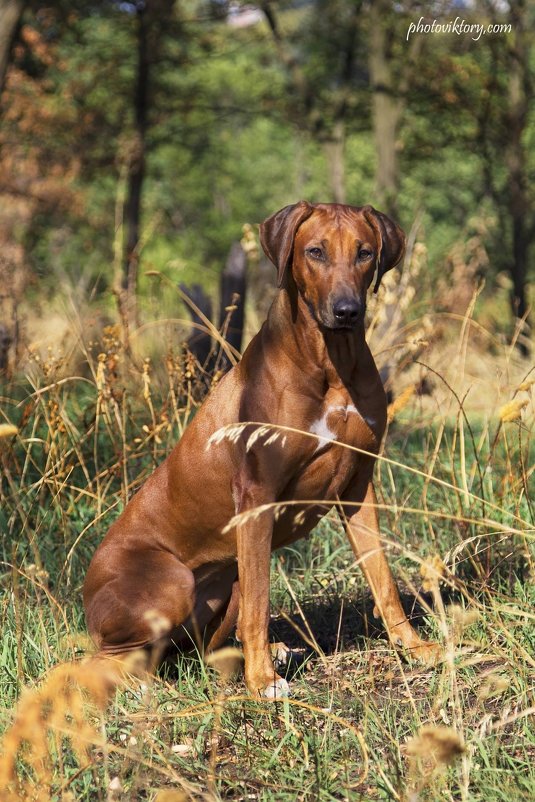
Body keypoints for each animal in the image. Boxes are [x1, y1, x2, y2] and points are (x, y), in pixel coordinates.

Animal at [82, 200, 436, 692]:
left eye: (364, 252)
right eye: (315, 252)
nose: (347, 310)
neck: (330, 362)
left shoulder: (359, 487)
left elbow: (384, 580)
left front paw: (414, 646)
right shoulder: (256, 496)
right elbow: (260, 603)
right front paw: (262, 680)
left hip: (222, 582)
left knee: (201, 649)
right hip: (171, 582)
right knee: (106, 661)